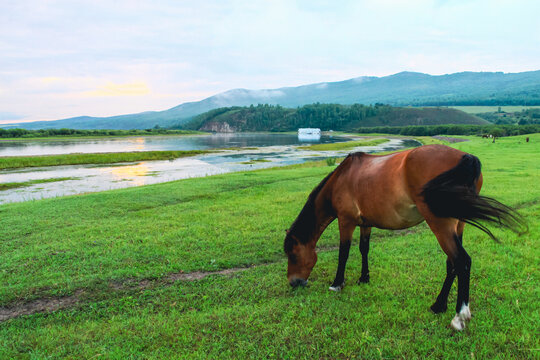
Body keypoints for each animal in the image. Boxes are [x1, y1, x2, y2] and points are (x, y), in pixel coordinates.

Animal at [282, 145, 524, 330]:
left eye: (292, 254)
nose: (294, 283)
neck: (343, 177)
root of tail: (465, 157)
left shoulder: (346, 221)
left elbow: (344, 253)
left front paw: (336, 284)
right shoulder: (365, 224)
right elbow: (363, 249)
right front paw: (364, 278)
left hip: (441, 224)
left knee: (461, 261)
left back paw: (459, 316)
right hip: (458, 223)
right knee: (452, 264)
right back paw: (438, 305)